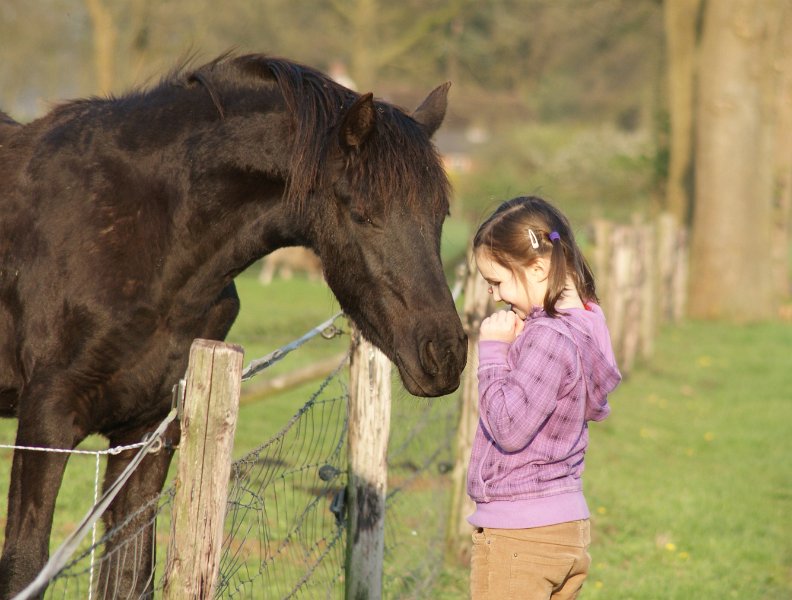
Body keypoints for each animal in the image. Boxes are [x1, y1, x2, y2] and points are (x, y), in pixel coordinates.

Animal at [0, 53, 467, 597]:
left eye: (441, 214)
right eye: (361, 212)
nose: (445, 354)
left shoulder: (148, 431)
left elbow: (131, 574)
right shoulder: (46, 420)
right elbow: (25, 568)